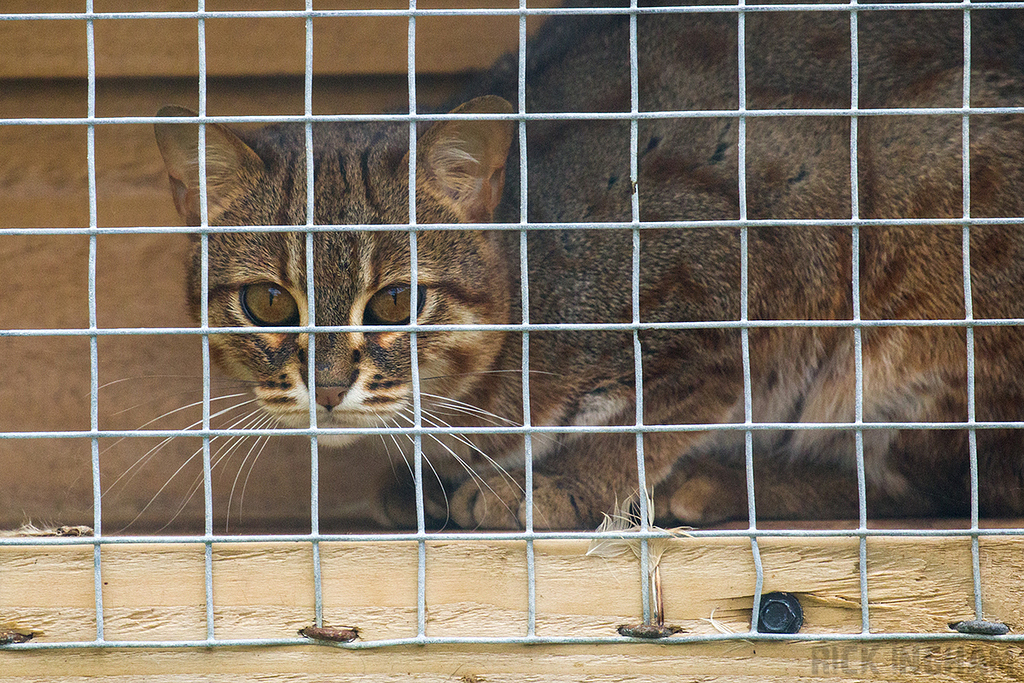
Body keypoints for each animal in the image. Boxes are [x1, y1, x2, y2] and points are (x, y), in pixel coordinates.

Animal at [155, 1, 1024, 528]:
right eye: (269, 302)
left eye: (396, 301)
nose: (330, 387)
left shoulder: (774, 239)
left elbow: (673, 401)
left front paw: (565, 481)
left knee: (950, 476)